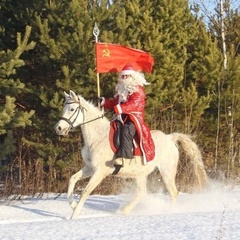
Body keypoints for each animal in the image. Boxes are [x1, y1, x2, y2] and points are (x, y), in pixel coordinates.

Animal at [54, 90, 208, 219]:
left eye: (72, 109)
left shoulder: (100, 172)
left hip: (167, 171)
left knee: (173, 193)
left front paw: (74, 215)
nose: (58, 128)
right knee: (142, 192)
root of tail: (170, 138)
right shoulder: (90, 168)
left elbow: (85, 191)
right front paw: (73, 206)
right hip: (140, 174)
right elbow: (72, 179)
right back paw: (125, 210)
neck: (97, 137)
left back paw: (169, 212)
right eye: (64, 108)